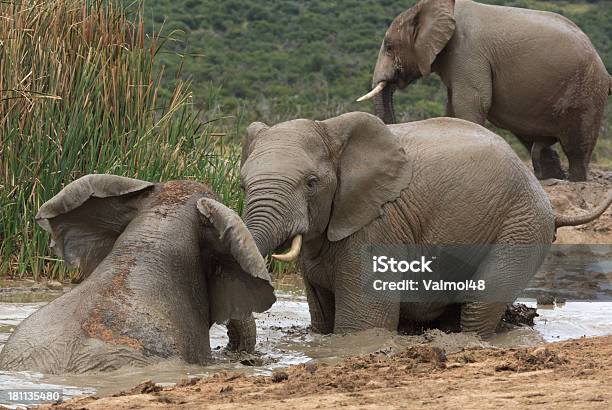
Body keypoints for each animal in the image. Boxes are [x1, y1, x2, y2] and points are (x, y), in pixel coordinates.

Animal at [239, 110, 612, 338]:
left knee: (481, 303)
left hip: (521, 226)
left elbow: (361, 326)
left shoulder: (379, 224)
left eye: (311, 183)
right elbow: (322, 322)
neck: (331, 128)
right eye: (241, 184)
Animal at [358, 0, 612, 181]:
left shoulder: (467, 51)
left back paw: (574, 180)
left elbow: (470, 102)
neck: (431, 6)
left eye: (389, 47)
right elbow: (452, 107)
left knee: (577, 147)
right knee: (531, 137)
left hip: (587, 90)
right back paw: (552, 177)